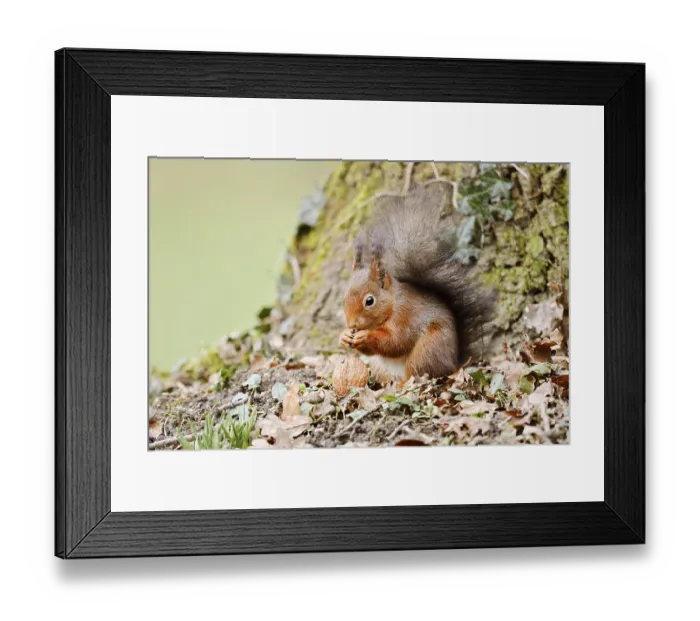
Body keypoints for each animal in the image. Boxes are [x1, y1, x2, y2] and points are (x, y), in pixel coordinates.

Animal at [339, 180, 496, 380]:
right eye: (344, 298)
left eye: (369, 301)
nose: (352, 324)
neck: (392, 304)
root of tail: (454, 361)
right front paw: (344, 336)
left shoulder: (405, 317)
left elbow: (395, 341)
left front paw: (365, 337)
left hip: (427, 349)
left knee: (418, 372)